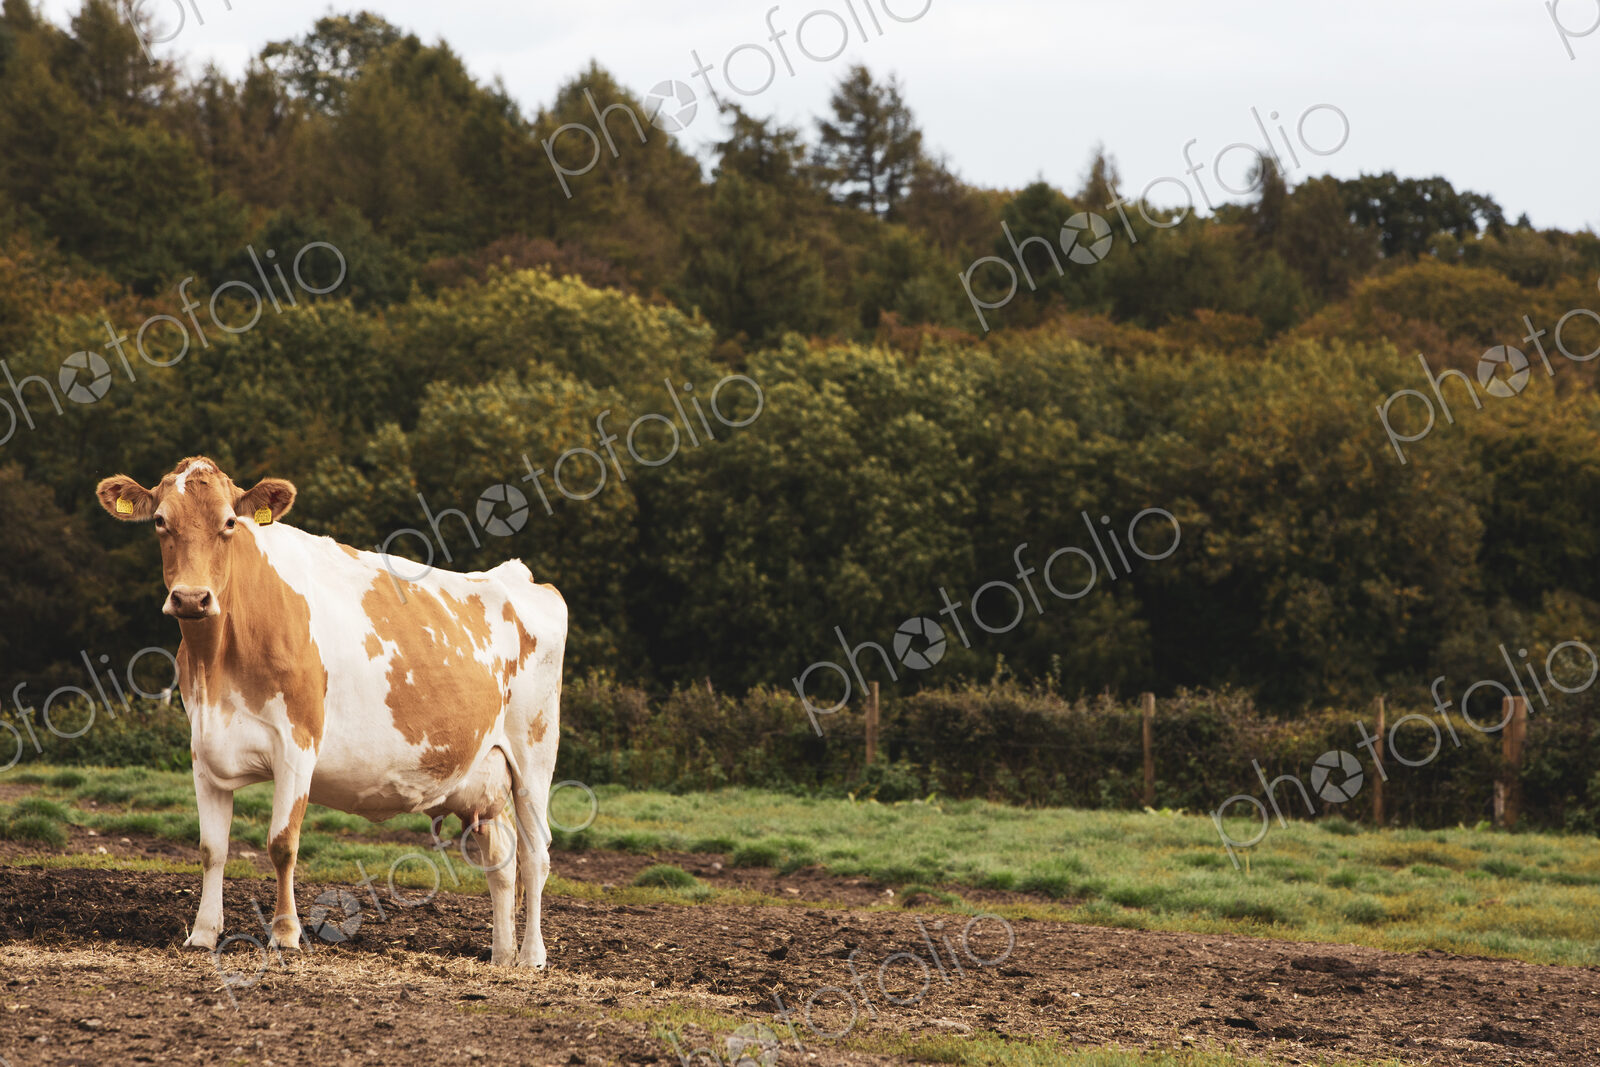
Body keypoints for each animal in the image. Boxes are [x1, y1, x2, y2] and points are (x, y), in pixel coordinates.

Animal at [94, 457, 566, 968]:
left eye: (229, 523)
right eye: (161, 521)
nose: (191, 598)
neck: (219, 660)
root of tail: (515, 576)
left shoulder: (297, 744)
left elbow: (282, 844)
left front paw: (285, 934)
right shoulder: (204, 747)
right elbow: (211, 847)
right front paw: (202, 933)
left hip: (534, 755)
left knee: (535, 855)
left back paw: (532, 955)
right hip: (484, 778)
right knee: (501, 859)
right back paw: (502, 954)